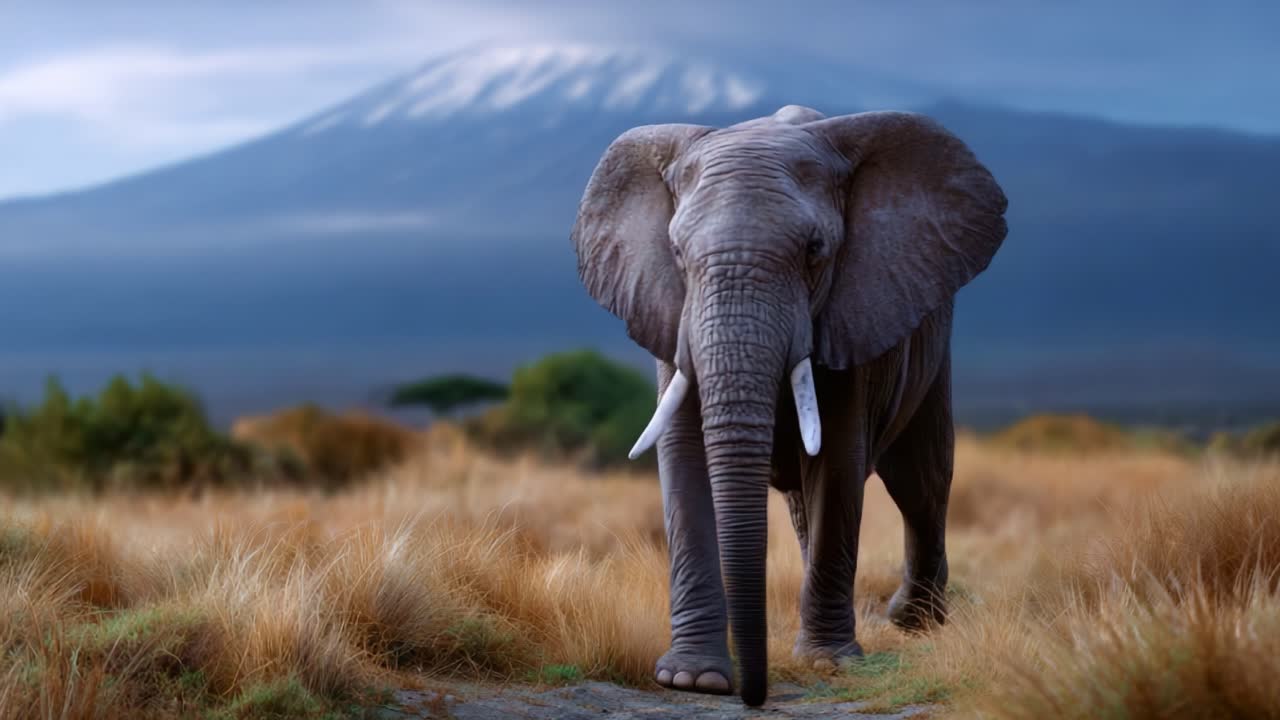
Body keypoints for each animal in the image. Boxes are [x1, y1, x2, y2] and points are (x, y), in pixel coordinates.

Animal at [570, 104, 1008, 706]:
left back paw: (914, 620)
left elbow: (840, 461)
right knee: (814, 500)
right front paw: (692, 679)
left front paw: (829, 663)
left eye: (814, 252)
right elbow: (683, 459)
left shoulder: (855, 309)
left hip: (930, 338)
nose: (754, 696)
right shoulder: (669, 315)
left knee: (920, 477)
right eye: (677, 253)